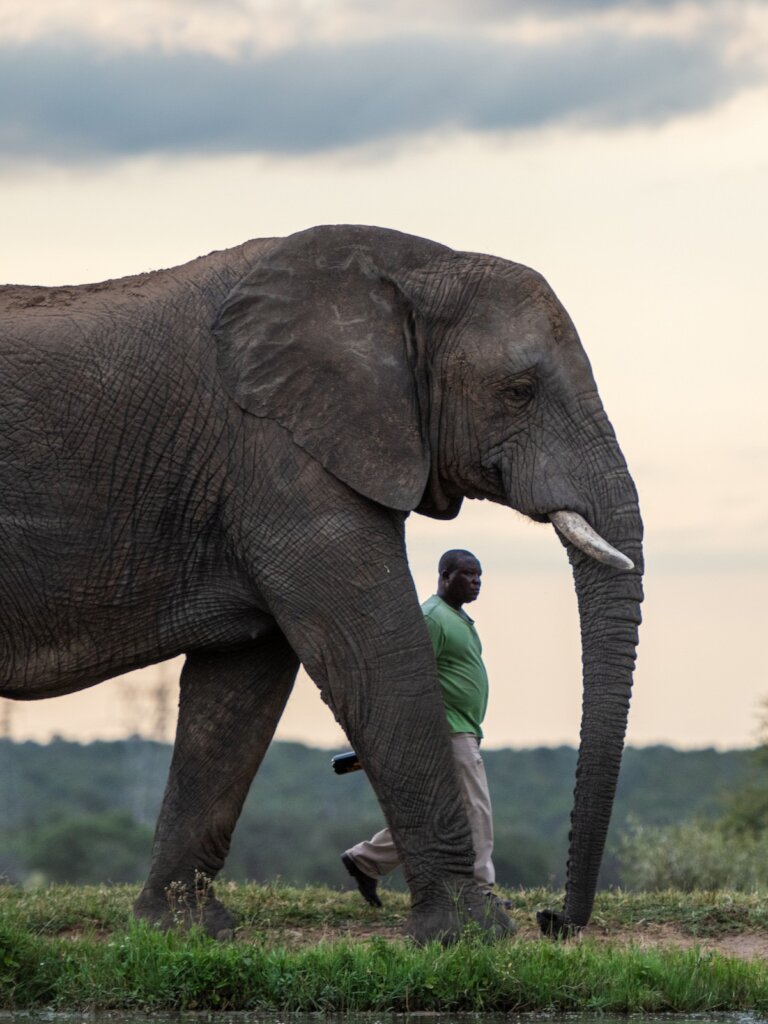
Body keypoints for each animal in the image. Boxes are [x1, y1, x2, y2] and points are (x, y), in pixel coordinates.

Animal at [0, 224, 643, 943]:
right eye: (519, 390)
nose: (553, 918)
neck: (408, 270)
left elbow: (239, 687)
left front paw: (185, 931)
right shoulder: (281, 460)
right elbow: (372, 651)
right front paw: (475, 933)